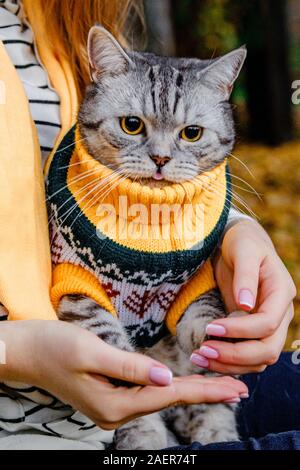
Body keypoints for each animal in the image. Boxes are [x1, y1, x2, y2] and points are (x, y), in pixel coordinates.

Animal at [49, 26, 247, 452]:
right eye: (131, 125)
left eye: (191, 134)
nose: (160, 158)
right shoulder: (75, 286)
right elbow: (107, 335)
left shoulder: (197, 283)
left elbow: (205, 312)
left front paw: (215, 336)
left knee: (212, 416)